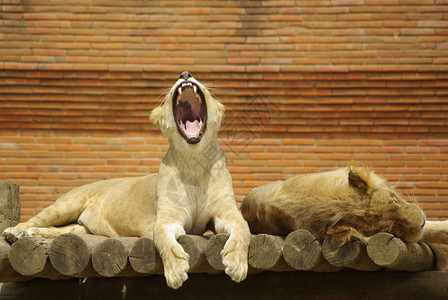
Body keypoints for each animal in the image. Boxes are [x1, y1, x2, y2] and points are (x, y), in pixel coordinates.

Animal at [3, 71, 250, 290]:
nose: (185, 74)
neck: (194, 162)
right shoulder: (166, 220)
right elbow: (165, 242)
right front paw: (176, 271)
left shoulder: (227, 213)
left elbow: (244, 230)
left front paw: (237, 264)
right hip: (65, 205)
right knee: (35, 219)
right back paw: (16, 232)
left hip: (80, 230)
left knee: (58, 230)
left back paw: (32, 234)